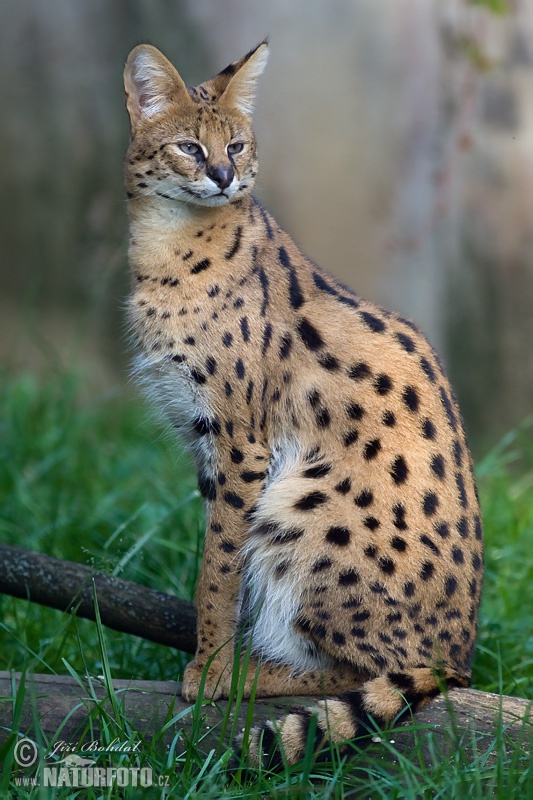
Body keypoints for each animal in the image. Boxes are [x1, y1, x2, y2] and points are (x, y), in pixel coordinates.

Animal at [123, 42, 482, 764]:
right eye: (188, 147)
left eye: (235, 144)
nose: (225, 176)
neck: (166, 243)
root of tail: (459, 652)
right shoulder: (207, 443)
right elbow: (222, 560)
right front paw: (217, 653)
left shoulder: (240, 441)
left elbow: (218, 566)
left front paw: (212, 668)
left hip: (304, 506)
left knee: (376, 666)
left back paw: (258, 671)